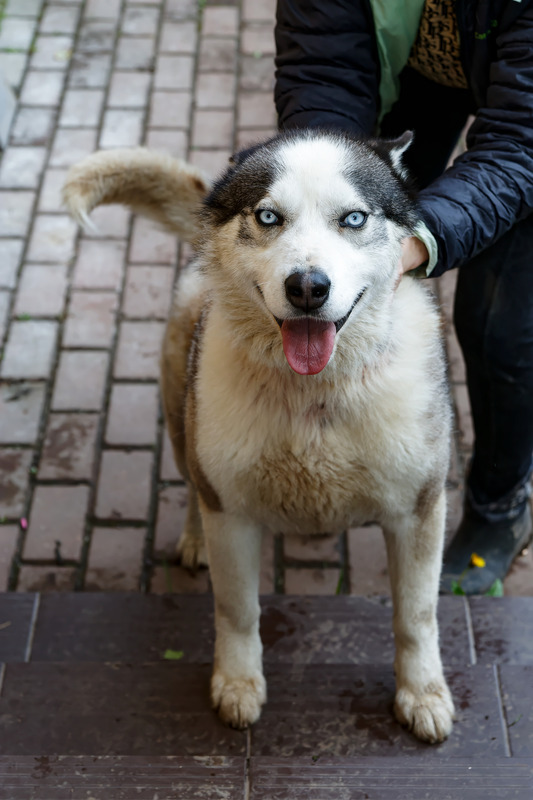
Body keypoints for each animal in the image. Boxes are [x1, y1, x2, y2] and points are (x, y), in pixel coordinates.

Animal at [62, 130, 454, 744]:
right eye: (268, 216)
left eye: (354, 218)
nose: (307, 286)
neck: (313, 397)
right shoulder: (233, 515)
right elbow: (237, 609)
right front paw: (238, 684)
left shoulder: (420, 507)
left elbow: (415, 617)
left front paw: (423, 694)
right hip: (186, 425)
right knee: (194, 484)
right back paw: (194, 538)